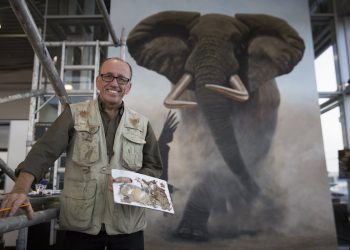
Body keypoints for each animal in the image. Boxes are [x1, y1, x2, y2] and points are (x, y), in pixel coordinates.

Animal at [127, 10, 304, 239]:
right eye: (190, 41)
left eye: (240, 46)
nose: (265, 197)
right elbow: (207, 146)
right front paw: (189, 232)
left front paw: (191, 232)